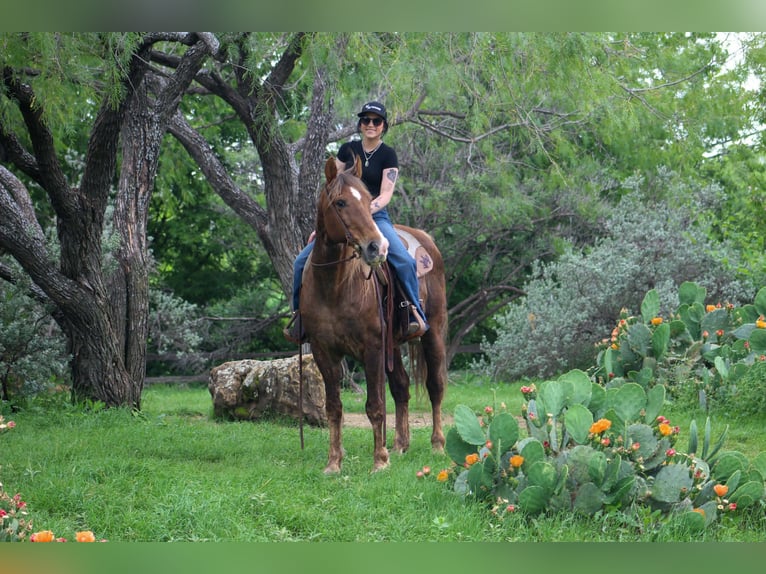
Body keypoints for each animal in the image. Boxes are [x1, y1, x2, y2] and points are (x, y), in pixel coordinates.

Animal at [300, 156, 448, 473]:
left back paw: (437, 444)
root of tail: (426, 239)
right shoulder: (323, 351)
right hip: (393, 344)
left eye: (369, 200)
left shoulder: (372, 348)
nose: (376, 247)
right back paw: (400, 445)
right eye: (340, 202)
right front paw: (334, 462)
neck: (336, 286)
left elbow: (375, 405)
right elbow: (334, 407)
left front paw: (379, 460)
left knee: (435, 386)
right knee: (402, 387)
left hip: (433, 334)